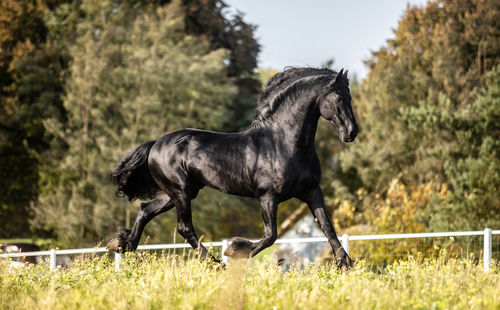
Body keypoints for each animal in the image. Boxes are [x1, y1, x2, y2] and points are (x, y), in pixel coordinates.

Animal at [108, 68, 360, 268]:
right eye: (338, 97)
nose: (351, 133)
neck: (282, 142)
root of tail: (156, 144)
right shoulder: (267, 197)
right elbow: (270, 236)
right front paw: (235, 250)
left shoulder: (312, 191)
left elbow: (327, 227)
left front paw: (346, 263)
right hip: (180, 192)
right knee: (184, 227)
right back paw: (216, 263)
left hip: (179, 192)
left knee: (146, 209)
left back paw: (122, 246)